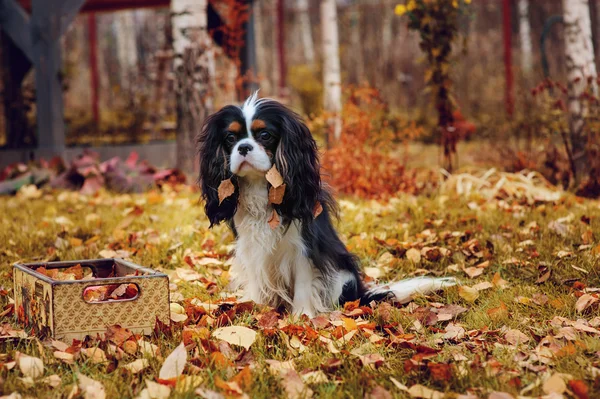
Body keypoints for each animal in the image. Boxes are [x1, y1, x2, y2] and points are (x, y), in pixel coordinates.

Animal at [197, 92, 454, 318]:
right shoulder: (252, 246)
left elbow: (304, 281)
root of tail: (361, 294)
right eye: (230, 138)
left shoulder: (305, 247)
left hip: (343, 276)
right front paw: (257, 310)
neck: (261, 187)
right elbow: (258, 279)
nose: (243, 147)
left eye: (265, 135)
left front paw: (301, 316)